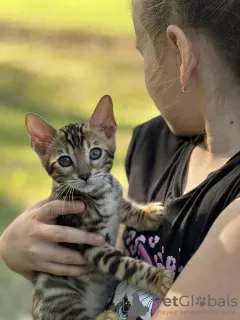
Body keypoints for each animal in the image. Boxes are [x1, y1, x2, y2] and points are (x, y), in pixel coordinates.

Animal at [24, 95, 174, 320]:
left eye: (95, 153)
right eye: (65, 160)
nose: (85, 175)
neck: (99, 195)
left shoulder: (115, 194)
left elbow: (126, 206)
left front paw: (147, 214)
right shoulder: (92, 244)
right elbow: (127, 265)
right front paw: (157, 278)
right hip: (58, 291)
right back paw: (106, 316)